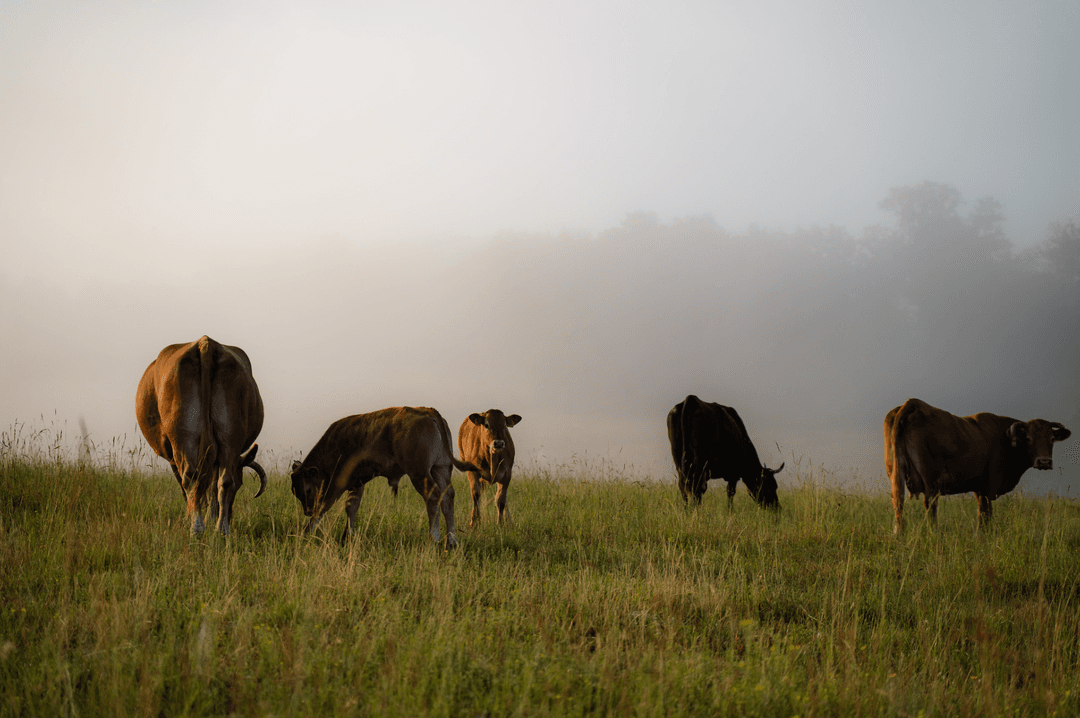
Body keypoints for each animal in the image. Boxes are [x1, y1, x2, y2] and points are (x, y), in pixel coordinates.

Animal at [135, 336, 267, 535]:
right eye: (241, 484)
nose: (230, 515)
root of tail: (205, 344)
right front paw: (210, 518)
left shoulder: (173, 456)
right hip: (228, 436)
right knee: (222, 481)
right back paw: (219, 529)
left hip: (184, 436)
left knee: (191, 478)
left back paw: (199, 528)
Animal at [289, 406, 479, 546]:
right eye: (295, 492)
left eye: (307, 489)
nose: (307, 511)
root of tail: (427, 410)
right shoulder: (357, 483)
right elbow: (351, 507)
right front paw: (347, 537)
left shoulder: (337, 483)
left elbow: (323, 506)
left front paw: (306, 533)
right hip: (441, 469)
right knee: (447, 498)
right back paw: (451, 542)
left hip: (419, 473)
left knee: (433, 498)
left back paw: (434, 539)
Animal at [884, 398, 1071, 534]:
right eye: (1028, 438)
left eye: (1051, 439)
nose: (1044, 461)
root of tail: (914, 404)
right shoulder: (988, 489)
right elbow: (985, 514)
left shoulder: (978, 488)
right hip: (931, 484)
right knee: (930, 508)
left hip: (896, 475)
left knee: (898, 503)